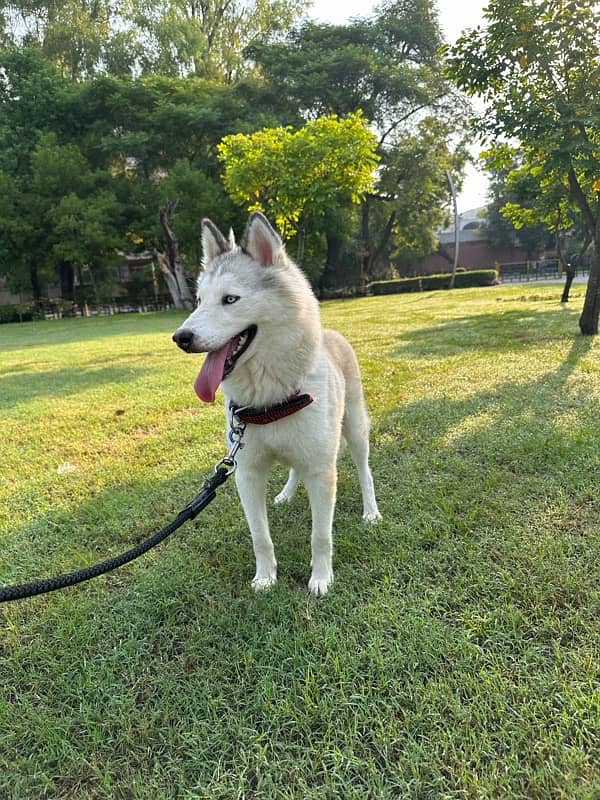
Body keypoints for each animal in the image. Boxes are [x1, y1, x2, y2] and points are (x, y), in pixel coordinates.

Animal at [172, 212, 380, 592]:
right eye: (199, 301)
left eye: (230, 299)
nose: (181, 337)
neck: (271, 398)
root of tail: (332, 335)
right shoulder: (247, 474)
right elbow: (260, 538)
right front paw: (266, 578)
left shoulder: (321, 471)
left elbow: (320, 536)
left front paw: (321, 579)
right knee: (295, 468)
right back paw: (286, 494)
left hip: (355, 429)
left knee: (364, 471)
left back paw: (371, 511)